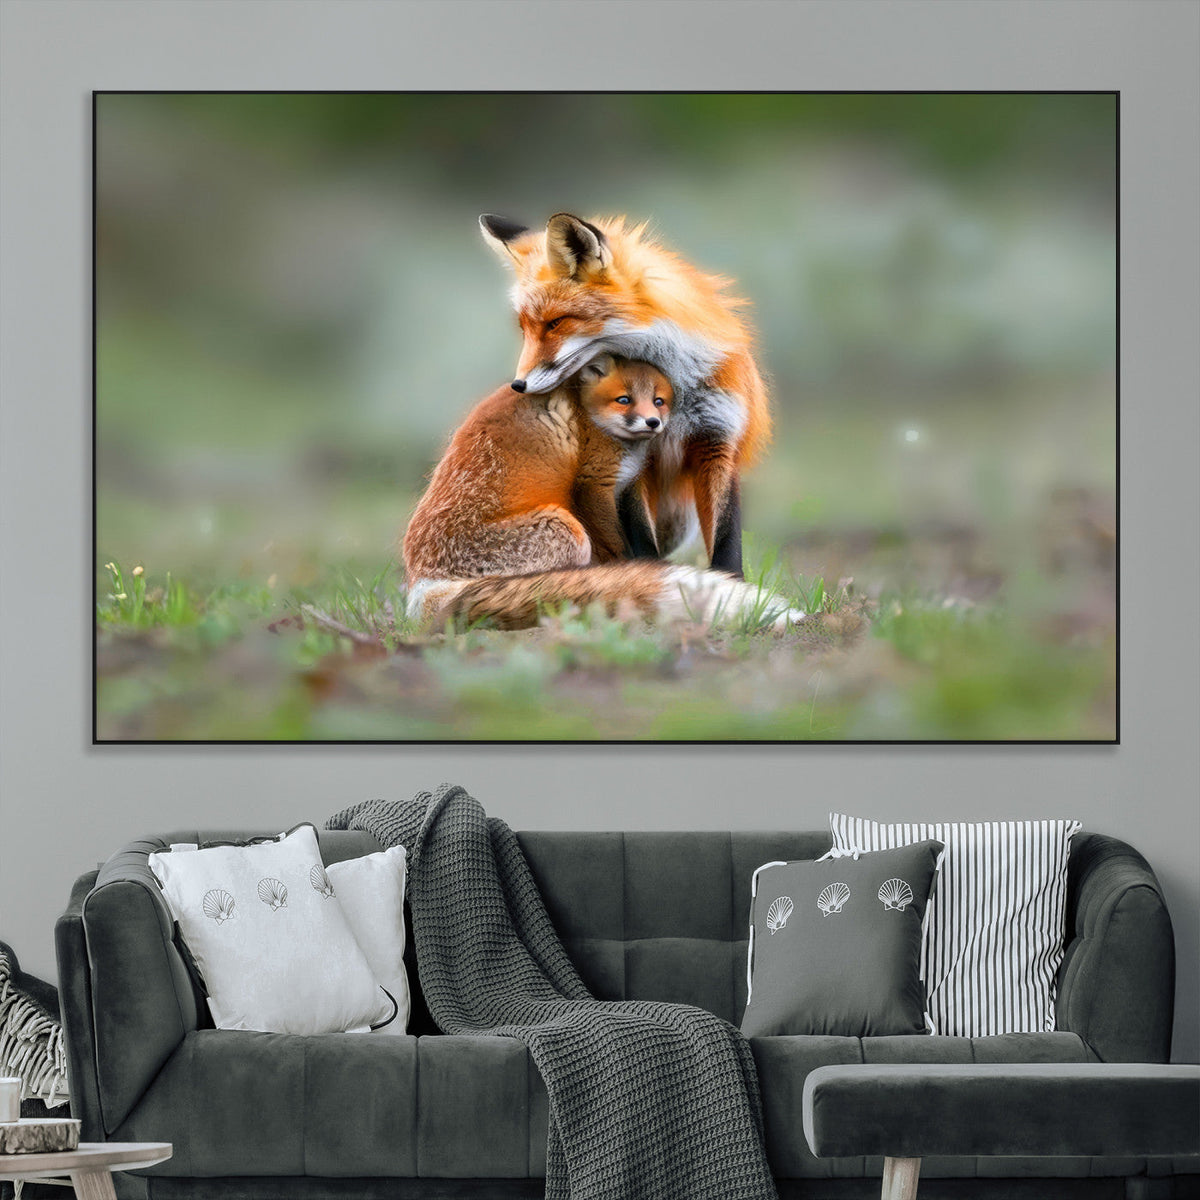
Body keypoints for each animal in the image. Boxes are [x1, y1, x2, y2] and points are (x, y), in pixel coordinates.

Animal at [479, 211, 771, 579]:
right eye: (525, 329)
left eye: (555, 323)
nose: (518, 385)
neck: (674, 390)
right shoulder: (633, 459)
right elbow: (641, 539)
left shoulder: (717, 443)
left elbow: (727, 541)